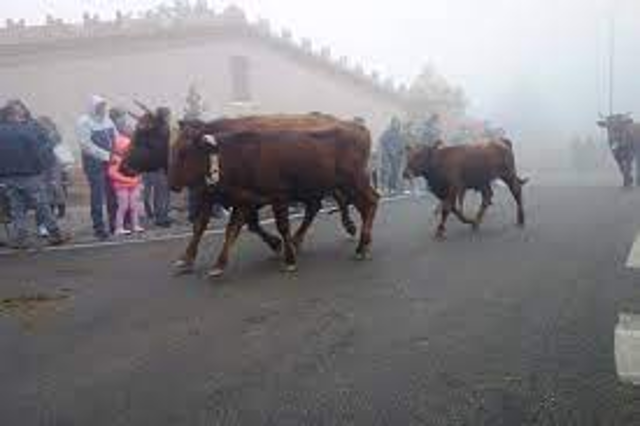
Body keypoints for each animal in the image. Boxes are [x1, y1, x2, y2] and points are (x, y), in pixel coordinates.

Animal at [172, 115, 378, 276]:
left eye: (184, 152)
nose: (172, 185)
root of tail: (359, 128)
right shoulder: (241, 201)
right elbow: (225, 229)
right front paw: (211, 265)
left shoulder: (277, 198)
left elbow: (281, 227)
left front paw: (288, 259)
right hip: (343, 186)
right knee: (357, 205)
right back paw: (359, 242)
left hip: (353, 183)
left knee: (370, 202)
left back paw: (359, 245)